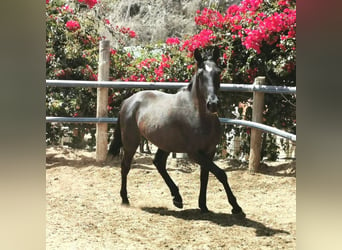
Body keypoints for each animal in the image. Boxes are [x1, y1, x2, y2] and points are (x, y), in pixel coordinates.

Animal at [108, 47, 244, 217]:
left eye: (218, 72)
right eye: (201, 74)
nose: (213, 104)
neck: (198, 115)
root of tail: (128, 101)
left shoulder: (209, 151)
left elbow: (205, 176)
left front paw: (203, 206)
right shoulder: (194, 153)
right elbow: (221, 174)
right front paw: (236, 207)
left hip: (165, 143)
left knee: (158, 163)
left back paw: (177, 198)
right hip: (131, 142)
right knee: (125, 166)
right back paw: (125, 199)